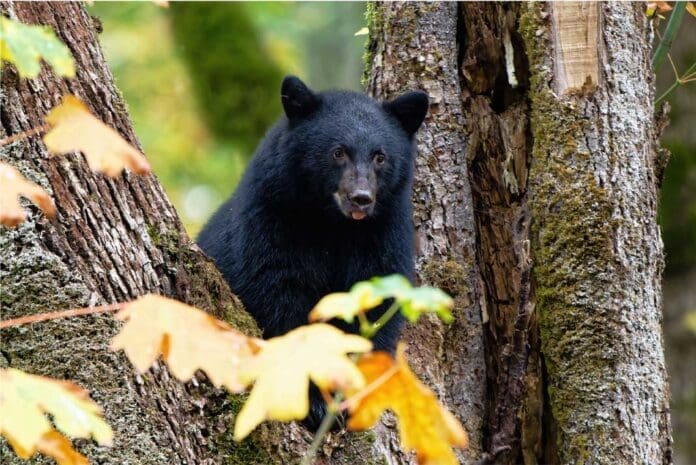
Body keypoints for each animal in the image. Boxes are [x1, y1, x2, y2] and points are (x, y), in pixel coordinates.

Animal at [197, 76, 428, 429]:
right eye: (338, 152)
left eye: (380, 156)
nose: (361, 198)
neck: (332, 224)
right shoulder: (272, 219)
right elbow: (279, 294)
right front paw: (316, 400)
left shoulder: (383, 234)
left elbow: (376, 306)